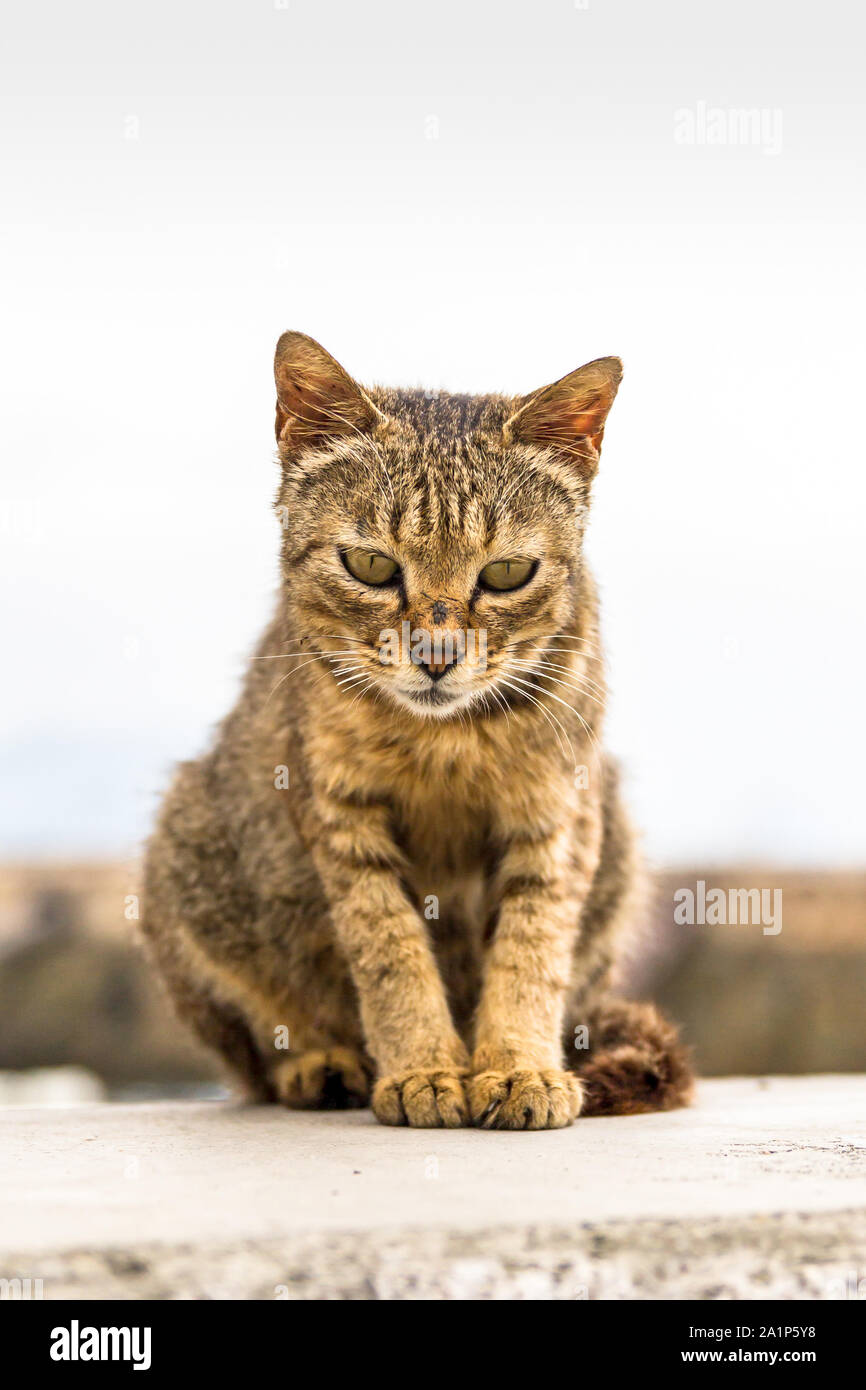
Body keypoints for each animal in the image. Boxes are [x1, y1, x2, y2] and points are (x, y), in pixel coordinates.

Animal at [143, 328, 697, 1128]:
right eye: (370, 564)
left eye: (507, 573)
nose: (436, 656)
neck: (444, 743)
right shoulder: (339, 813)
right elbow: (390, 948)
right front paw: (424, 1069)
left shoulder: (558, 812)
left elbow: (532, 948)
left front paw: (518, 1066)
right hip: (188, 844)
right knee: (255, 1051)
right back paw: (321, 1065)